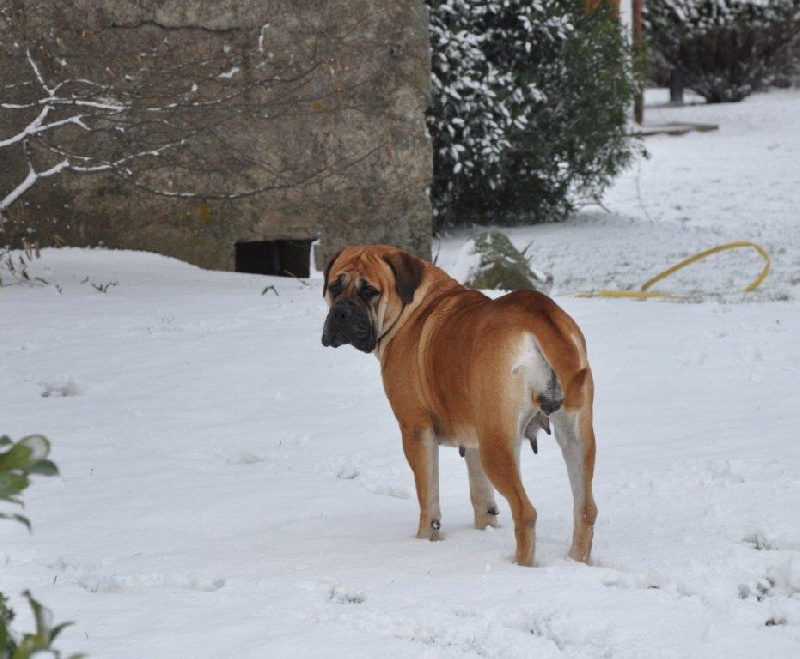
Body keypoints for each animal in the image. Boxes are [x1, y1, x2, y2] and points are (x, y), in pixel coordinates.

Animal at [322, 245, 596, 564]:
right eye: (334, 286)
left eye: (370, 291)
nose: (340, 312)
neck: (412, 308)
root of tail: (538, 312)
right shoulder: (473, 441)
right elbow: (481, 497)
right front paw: (485, 528)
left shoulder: (416, 430)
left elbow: (428, 497)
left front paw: (425, 540)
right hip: (576, 437)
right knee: (586, 508)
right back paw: (576, 560)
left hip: (497, 444)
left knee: (526, 512)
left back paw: (522, 565)